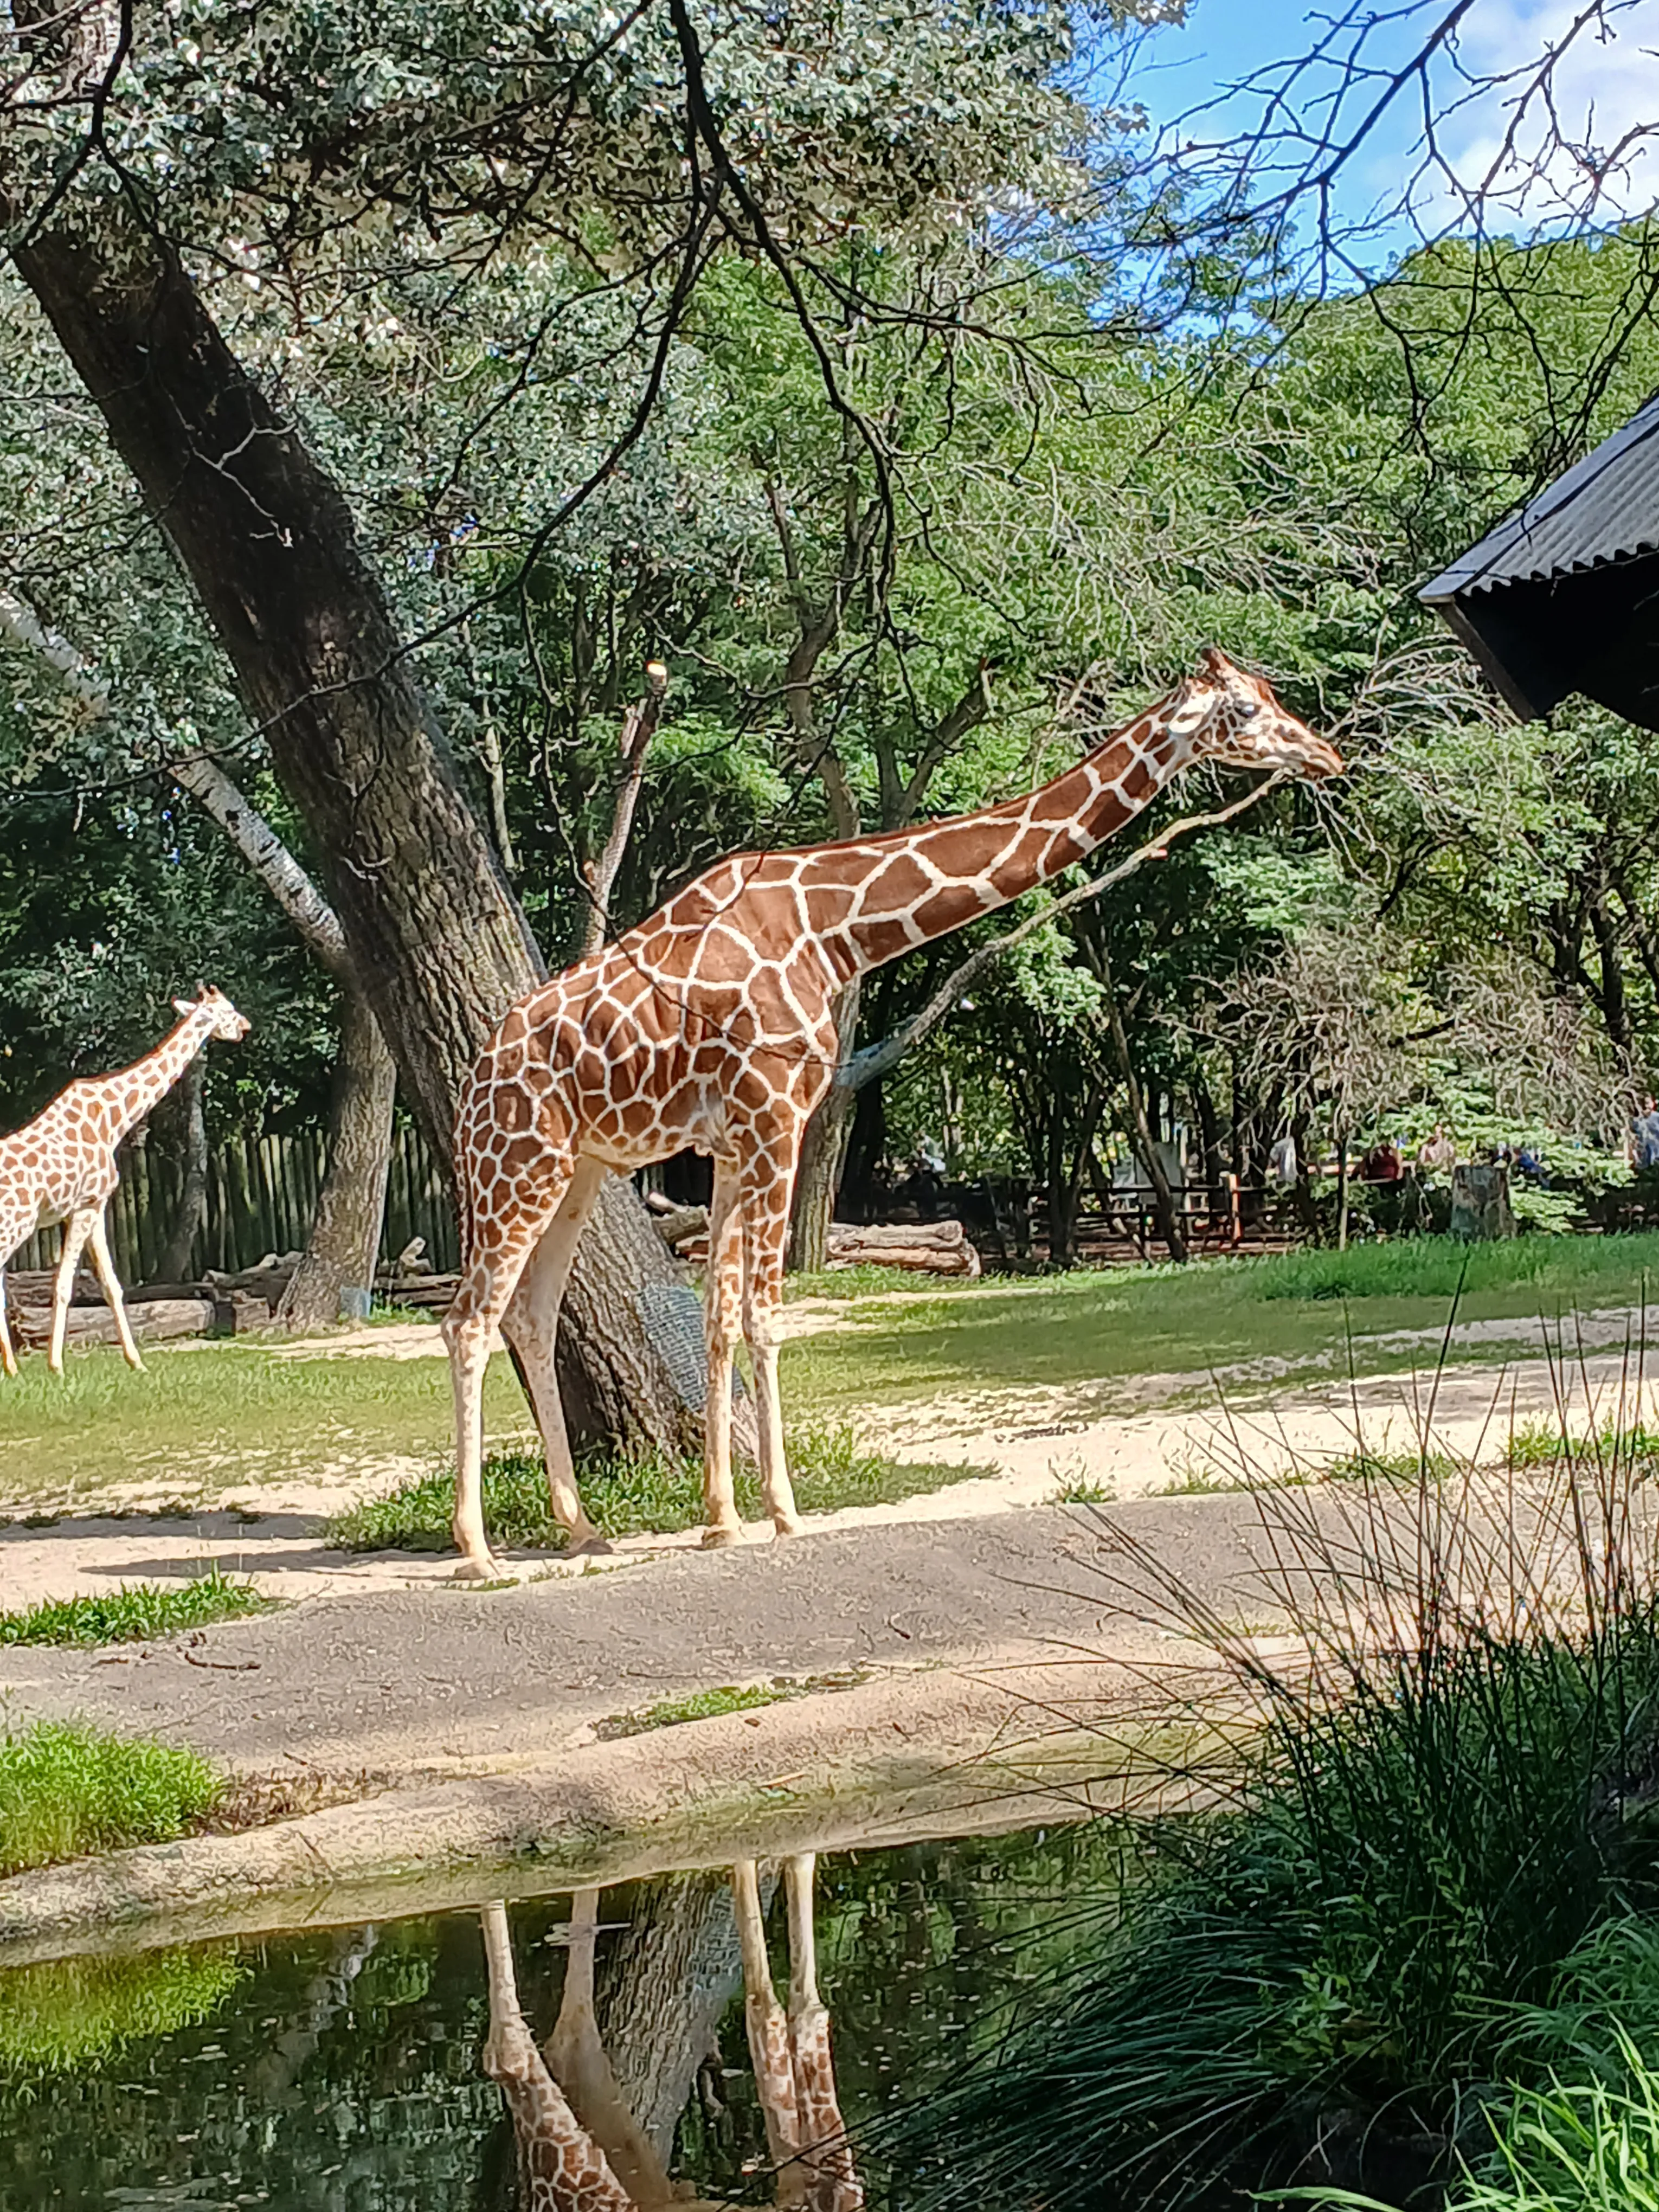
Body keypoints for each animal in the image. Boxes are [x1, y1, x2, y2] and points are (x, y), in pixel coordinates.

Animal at [0, 987, 252, 1377]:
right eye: (228, 1010)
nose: (246, 1026)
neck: (113, 1119)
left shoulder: (93, 1207)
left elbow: (112, 1285)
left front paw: (136, 1361)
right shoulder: (87, 1203)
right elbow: (64, 1283)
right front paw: (57, 1366)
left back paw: (11, 1368)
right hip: (16, 1223)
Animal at [444, 647, 1342, 1577]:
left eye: (1271, 695)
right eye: (1247, 709)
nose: (1328, 756)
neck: (840, 929)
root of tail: (476, 1074)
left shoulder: (730, 1141)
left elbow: (721, 1314)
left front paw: (721, 1517)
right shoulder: (775, 1116)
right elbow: (765, 1314)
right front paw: (784, 1511)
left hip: (579, 1168)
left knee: (529, 1315)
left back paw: (582, 1526)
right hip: (516, 1162)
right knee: (468, 1319)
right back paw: (477, 1548)